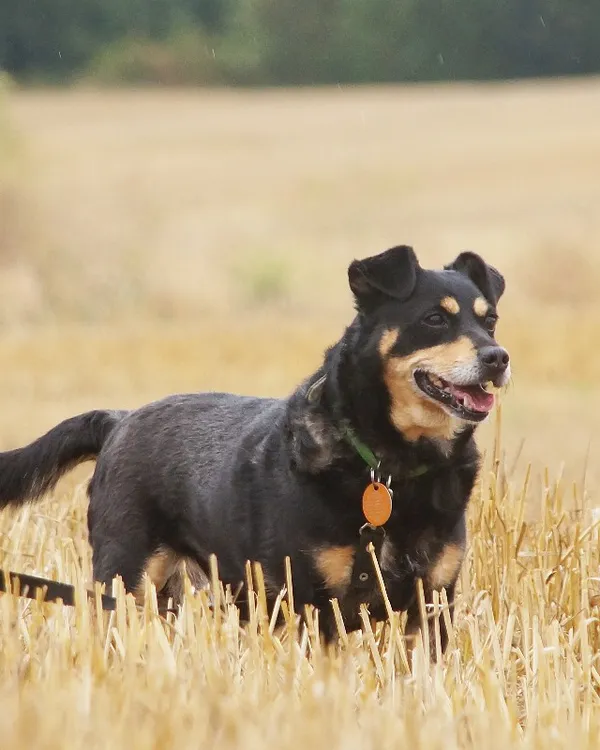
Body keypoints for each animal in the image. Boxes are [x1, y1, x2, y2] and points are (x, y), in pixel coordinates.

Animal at [0, 250, 508, 656]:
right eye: (435, 319)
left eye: (489, 321)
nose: (498, 357)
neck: (388, 469)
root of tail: (118, 420)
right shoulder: (314, 602)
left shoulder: (433, 602)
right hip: (126, 580)